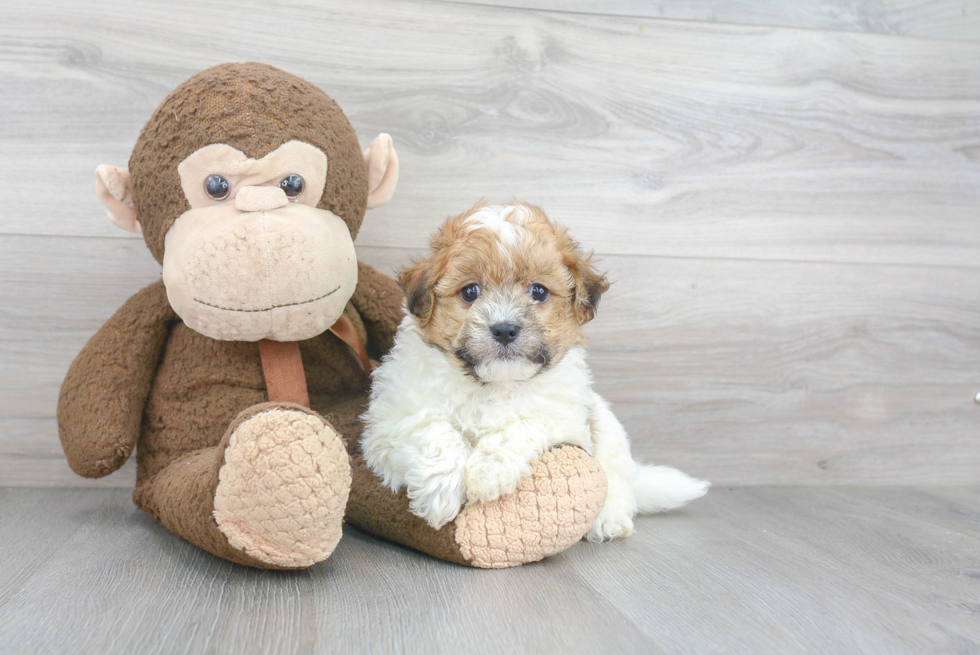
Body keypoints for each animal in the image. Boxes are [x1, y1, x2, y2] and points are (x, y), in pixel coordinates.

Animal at [360, 202, 704, 540]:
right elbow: (430, 429)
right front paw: (439, 491)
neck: (494, 385)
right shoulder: (390, 420)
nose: (504, 329)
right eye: (470, 292)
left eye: (538, 292)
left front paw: (488, 470)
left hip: (608, 429)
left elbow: (525, 422)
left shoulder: (564, 417)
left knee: (616, 477)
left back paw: (609, 518)